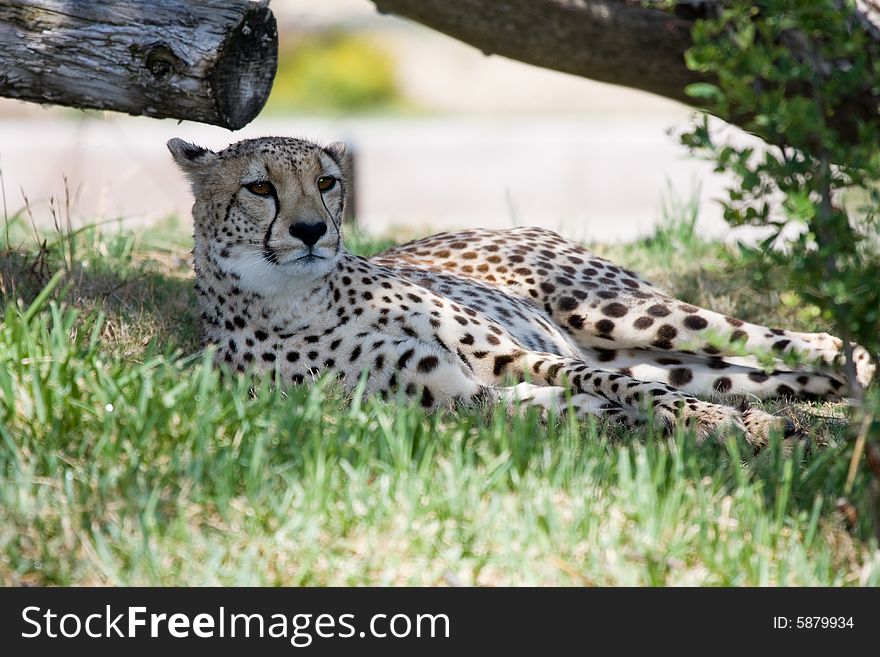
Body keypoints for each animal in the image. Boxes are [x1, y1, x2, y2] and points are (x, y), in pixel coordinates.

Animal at [167, 136, 872, 448]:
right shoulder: (462, 397)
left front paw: (708, 422)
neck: (299, 296)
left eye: (328, 181)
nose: (312, 230)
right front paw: (724, 425)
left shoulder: (510, 353)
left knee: (786, 337)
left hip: (618, 310)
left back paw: (852, 363)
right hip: (659, 352)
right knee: (741, 372)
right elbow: (593, 406)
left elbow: (616, 390)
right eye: (261, 187)